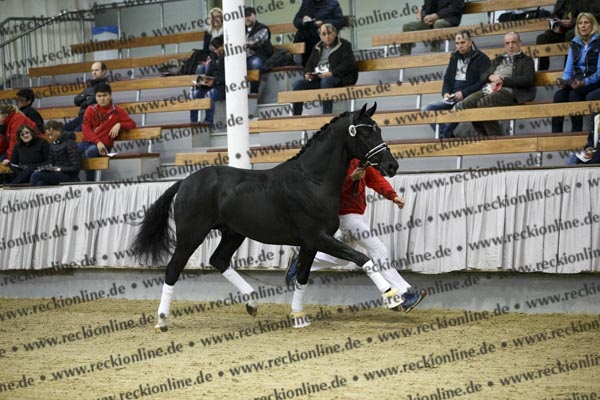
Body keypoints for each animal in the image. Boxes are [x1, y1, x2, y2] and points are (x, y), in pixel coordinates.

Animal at [131, 103, 399, 331]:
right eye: (365, 134)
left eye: (379, 130)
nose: (392, 165)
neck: (312, 180)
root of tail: (186, 181)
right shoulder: (318, 238)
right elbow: (362, 258)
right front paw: (391, 296)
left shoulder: (310, 244)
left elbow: (302, 277)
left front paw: (298, 317)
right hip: (191, 235)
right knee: (173, 269)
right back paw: (162, 321)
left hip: (233, 233)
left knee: (218, 260)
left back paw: (251, 303)